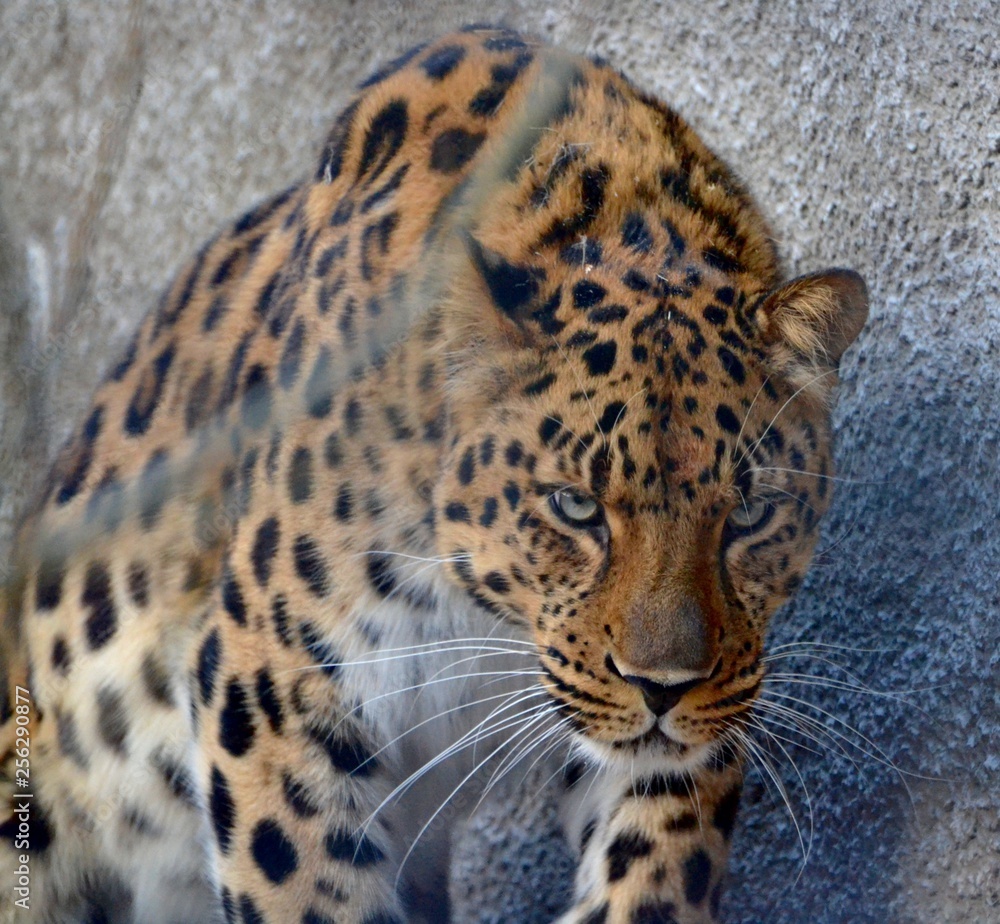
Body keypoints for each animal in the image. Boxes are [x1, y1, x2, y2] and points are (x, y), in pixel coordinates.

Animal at [0, 25, 868, 924]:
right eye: (575, 507)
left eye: (750, 515)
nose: (664, 686)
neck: (483, 614)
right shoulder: (269, 685)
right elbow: (311, 887)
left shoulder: (702, 700)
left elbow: (656, 867)